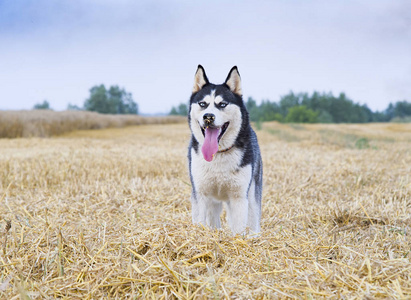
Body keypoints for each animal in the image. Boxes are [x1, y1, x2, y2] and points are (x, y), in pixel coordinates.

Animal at [189, 65, 264, 234]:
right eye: (203, 104)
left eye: (222, 104)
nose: (208, 117)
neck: (218, 154)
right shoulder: (200, 194)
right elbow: (200, 223)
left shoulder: (239, 197)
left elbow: (238, 228)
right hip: (213, 202)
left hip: (252, 194)